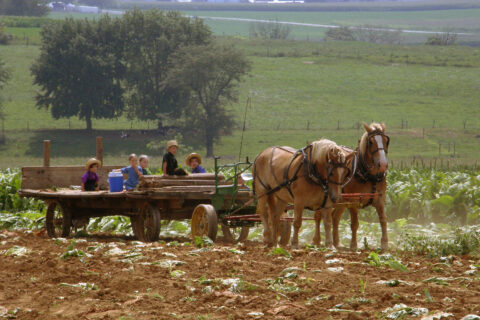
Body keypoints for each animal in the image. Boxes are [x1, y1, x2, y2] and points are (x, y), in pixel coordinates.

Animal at [316, 122, 390, 250]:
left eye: (386, 141)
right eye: (371, 142)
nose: (383, 165)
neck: (369, 176)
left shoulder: (380, 199)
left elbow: (383, 220)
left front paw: (385, 244)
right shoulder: (353, 201)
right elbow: (355, 223)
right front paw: (354, 245)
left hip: (340, 202)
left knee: (335, 218)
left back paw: (337, 243)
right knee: (318, 217)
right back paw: (316, 241)